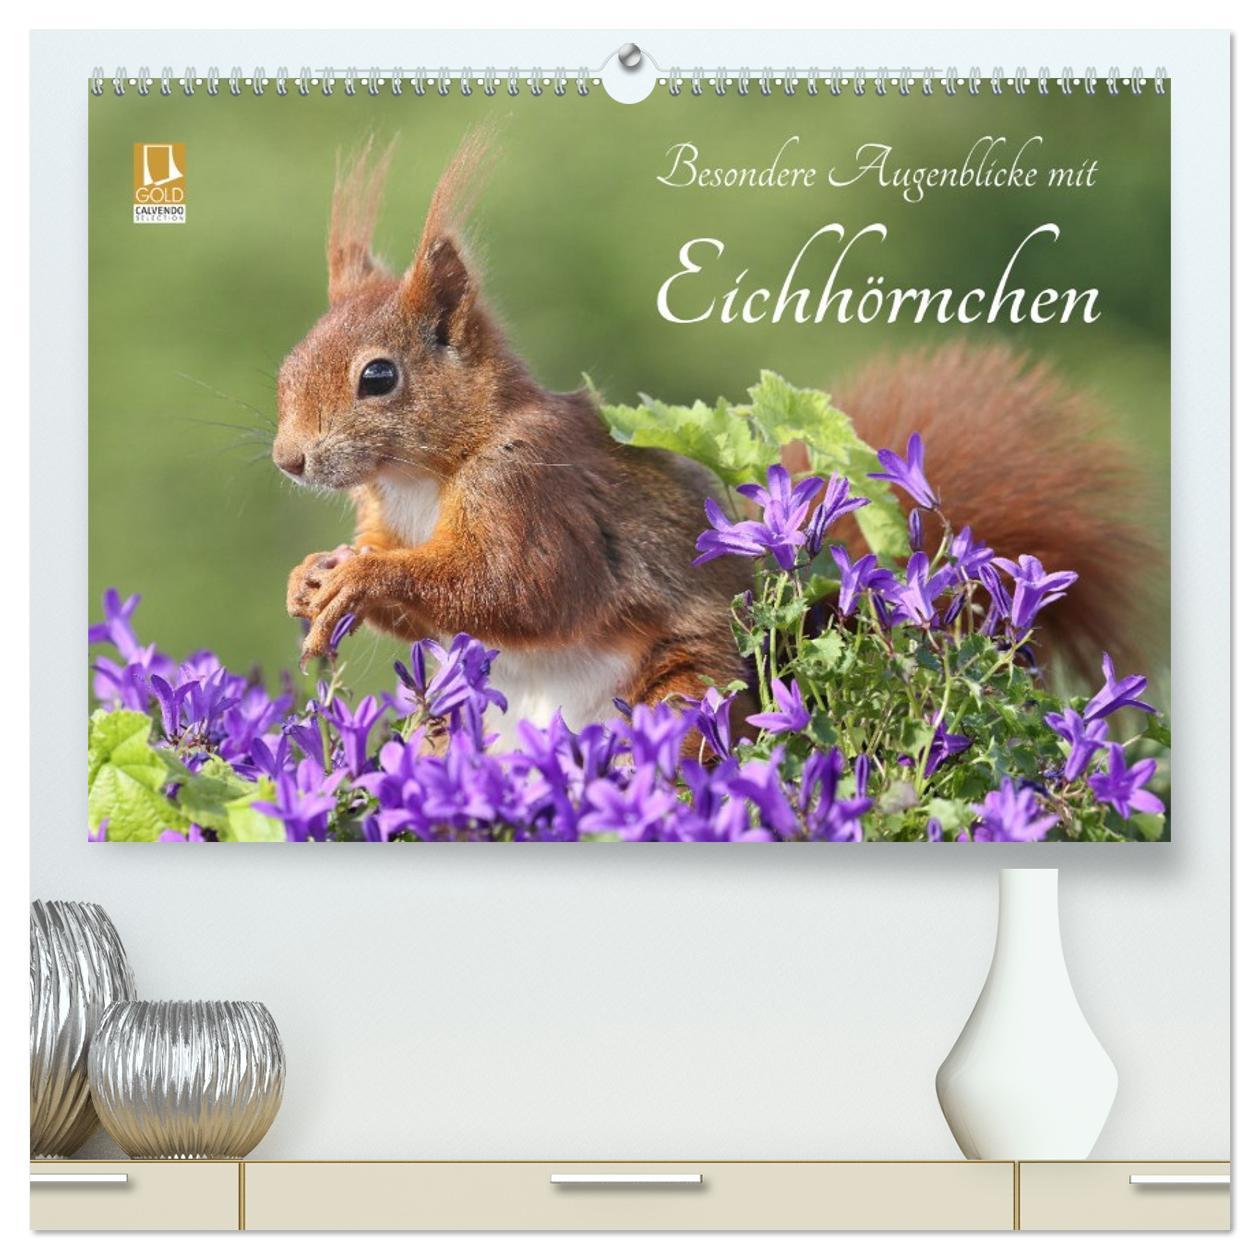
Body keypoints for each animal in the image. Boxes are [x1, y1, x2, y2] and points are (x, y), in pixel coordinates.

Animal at [274, 140, 1152, 742]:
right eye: (289, 362)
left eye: (378, 377)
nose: (289, 459)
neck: (425, 472)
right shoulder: (384, 513)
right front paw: (310, 578)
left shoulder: (531, 490)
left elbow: (517, 589)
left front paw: (360, 581)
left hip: (689, 690)